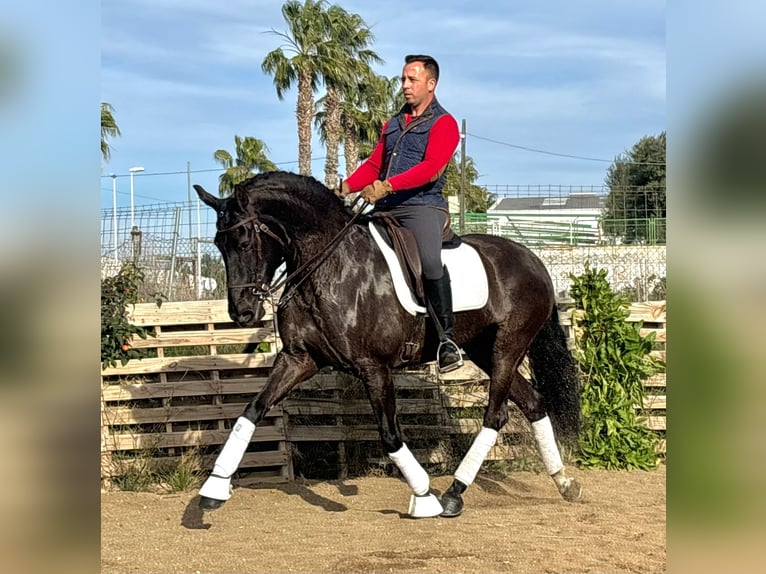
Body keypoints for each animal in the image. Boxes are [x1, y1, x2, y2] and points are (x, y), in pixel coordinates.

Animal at [192, 171, 584, 516]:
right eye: (219, 244)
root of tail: (533, 259)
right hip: (484, 350)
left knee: (495, 414)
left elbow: (390, 434)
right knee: (532, 403)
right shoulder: (298, 360)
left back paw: (453, 494)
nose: (242, 313)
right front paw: (214, 488)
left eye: (244, 240)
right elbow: (252, 410)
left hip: (507, 347)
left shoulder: (373, 368)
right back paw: (563, 482)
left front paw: (424, 497)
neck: (329, 265)